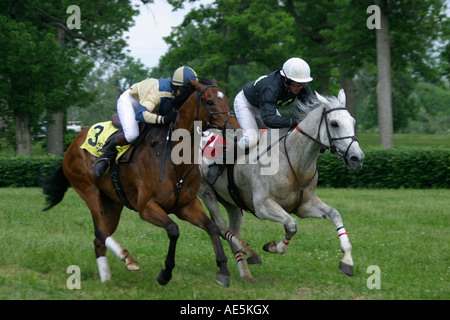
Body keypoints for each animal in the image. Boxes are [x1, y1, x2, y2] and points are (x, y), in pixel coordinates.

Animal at [42, 78, 239, 288]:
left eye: (227, 99)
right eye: (210, 102)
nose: (235, 127)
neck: (174, 156)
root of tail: (73, 142)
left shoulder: (186, 205)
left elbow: (211, 227)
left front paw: (223, 270)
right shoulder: (147, 207)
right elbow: (173, 230)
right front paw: (165, 274)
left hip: (112, 202)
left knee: (99, 239)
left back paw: (106, 278)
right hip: (87, 189)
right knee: (101, 231)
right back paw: (127, 258)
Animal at [199, 89, 364, 282]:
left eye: (352, 121)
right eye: (334, 123)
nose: (357, 158)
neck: (293, 161)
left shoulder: (304, 205)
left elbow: (335, 214)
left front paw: (347, 261)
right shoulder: (263, 206)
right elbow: (291, 225)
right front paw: (272, 247)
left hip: (232, 203)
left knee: (232, 232)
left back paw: (246, 273)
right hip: (206, 192)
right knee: (220, 227)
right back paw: (250, 254)